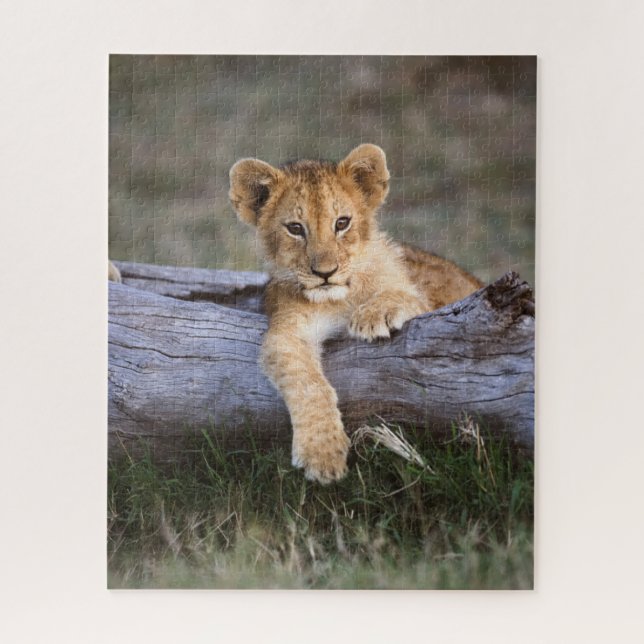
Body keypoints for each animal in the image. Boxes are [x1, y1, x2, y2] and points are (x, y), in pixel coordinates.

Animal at [229, 144, 482, 484]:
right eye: (295, 228)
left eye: (342, 223)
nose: (325, 273)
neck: (339, 299)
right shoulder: (287, 332)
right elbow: (308, 383)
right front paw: (322, 454)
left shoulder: (425, 302)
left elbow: (402, 294)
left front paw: (374, 315)